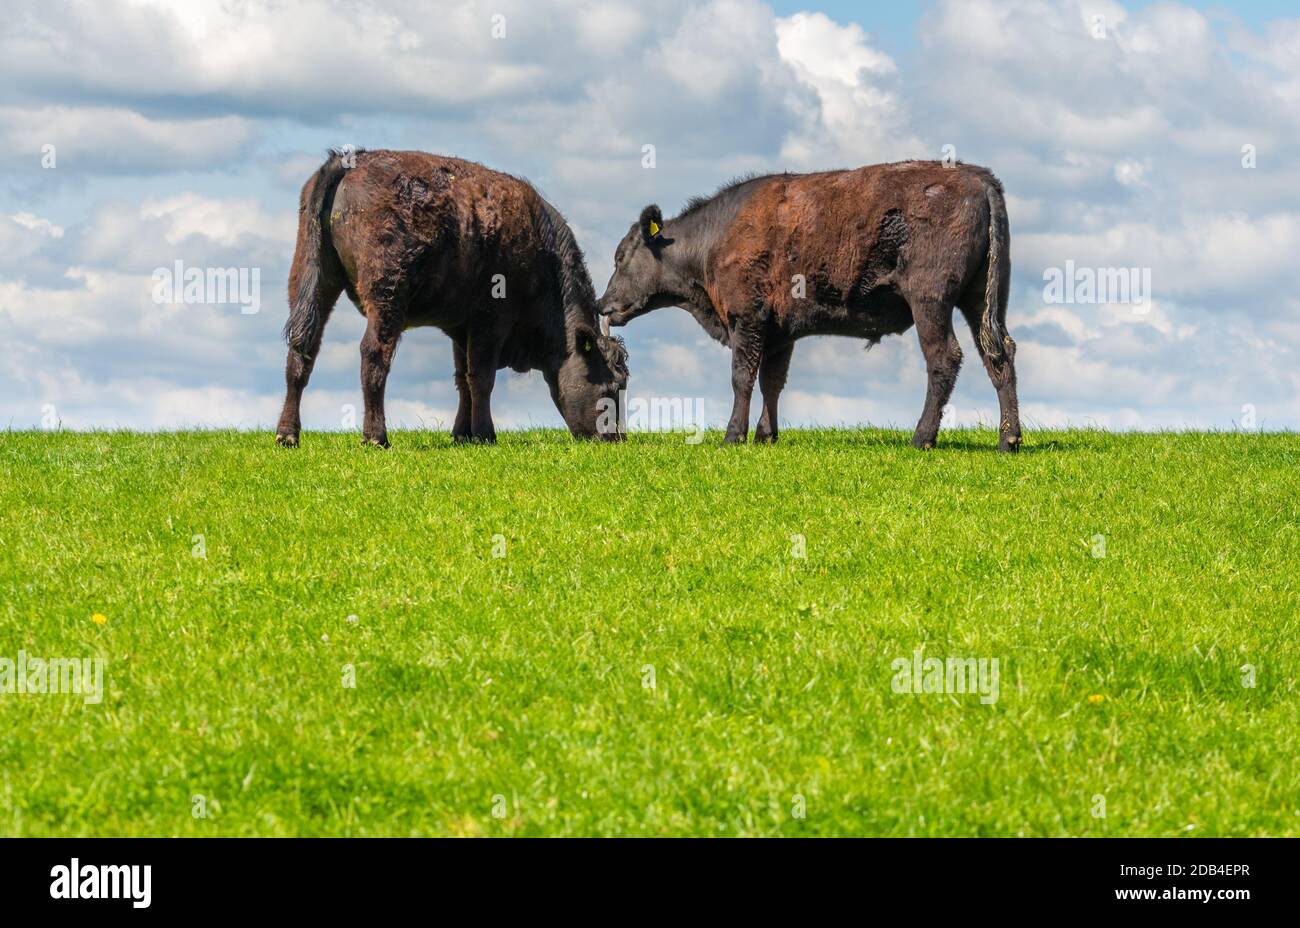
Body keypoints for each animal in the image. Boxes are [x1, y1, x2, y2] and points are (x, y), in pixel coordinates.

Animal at [276, 147, 626, 444]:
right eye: (611, 386)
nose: (617, 437)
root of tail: (352, 160)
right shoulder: (491, 320)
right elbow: (481, 377)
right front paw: (485, 434)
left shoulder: (462, 326)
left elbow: (463, 380)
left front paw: (461, 434)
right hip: (386, 295)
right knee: (373, 355)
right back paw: (376, 436)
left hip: (312, 279)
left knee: (302, 349)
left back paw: (288, 434)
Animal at [595, 162, 1019, 452]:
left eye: (620, 256)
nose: (602, 304)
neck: (713, 239)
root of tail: (979, 179)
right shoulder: (779, 334)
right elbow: (771, 381)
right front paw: (766, 434)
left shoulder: (748, 319)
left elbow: (742, 376)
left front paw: (733, 435)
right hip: (980, 303)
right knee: (999, 355)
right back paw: (1009, 440)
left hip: (930, 303)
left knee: (945, 358)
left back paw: (921, 437)